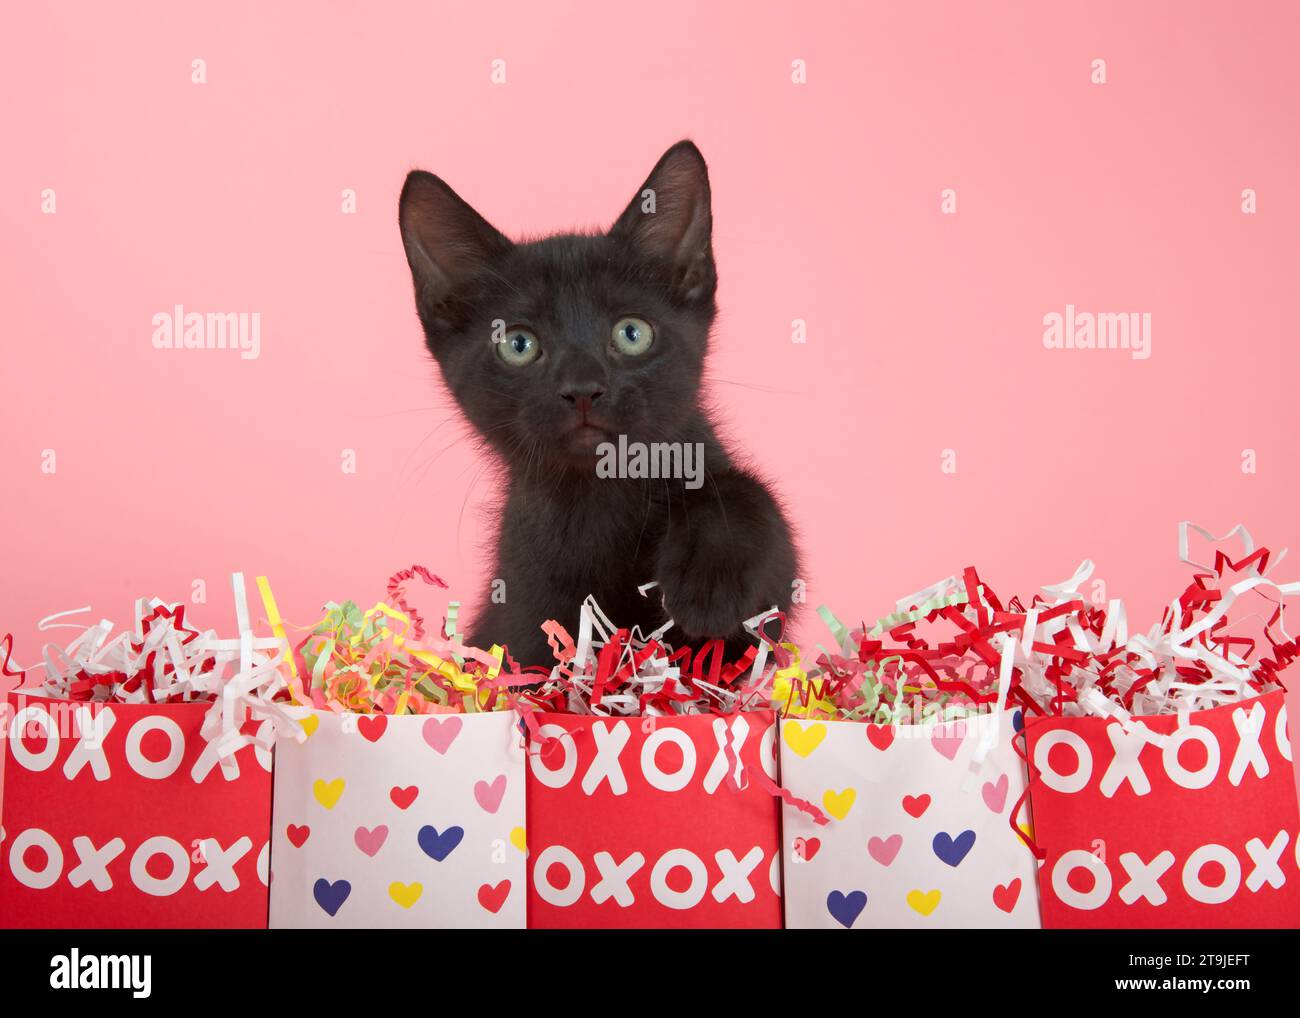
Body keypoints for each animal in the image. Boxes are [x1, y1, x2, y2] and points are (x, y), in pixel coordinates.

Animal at [400, 143, 795, 670]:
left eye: (631, 333)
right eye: (518, 344)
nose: (583, 387)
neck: (599, 497)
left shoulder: (764, 617)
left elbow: (753, 505)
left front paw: (707, 581)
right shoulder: (518, 614)